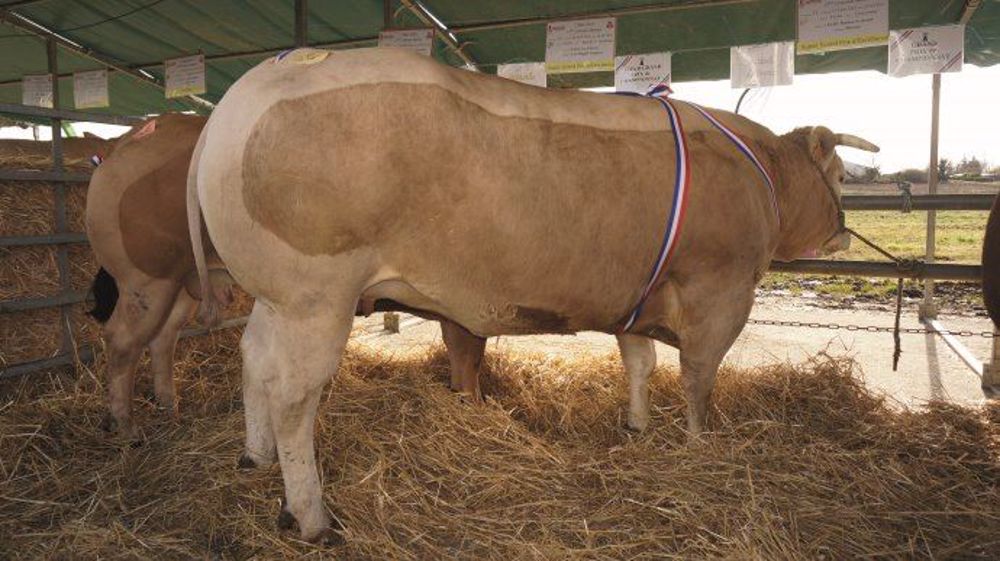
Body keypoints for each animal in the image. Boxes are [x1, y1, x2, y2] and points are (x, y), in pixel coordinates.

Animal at [188, 47, 879, 543]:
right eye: (838, 173)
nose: (844, 227)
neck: (762, 174)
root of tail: (245, 93)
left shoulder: (639, 292)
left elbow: (640, 362)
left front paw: (636, 427)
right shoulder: (721, 290)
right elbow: (697, 378)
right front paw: (697, 445)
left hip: (274, 298)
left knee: (253, 360)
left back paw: (254, 458)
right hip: (314, 297)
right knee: (292, 397)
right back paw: (311, 516)